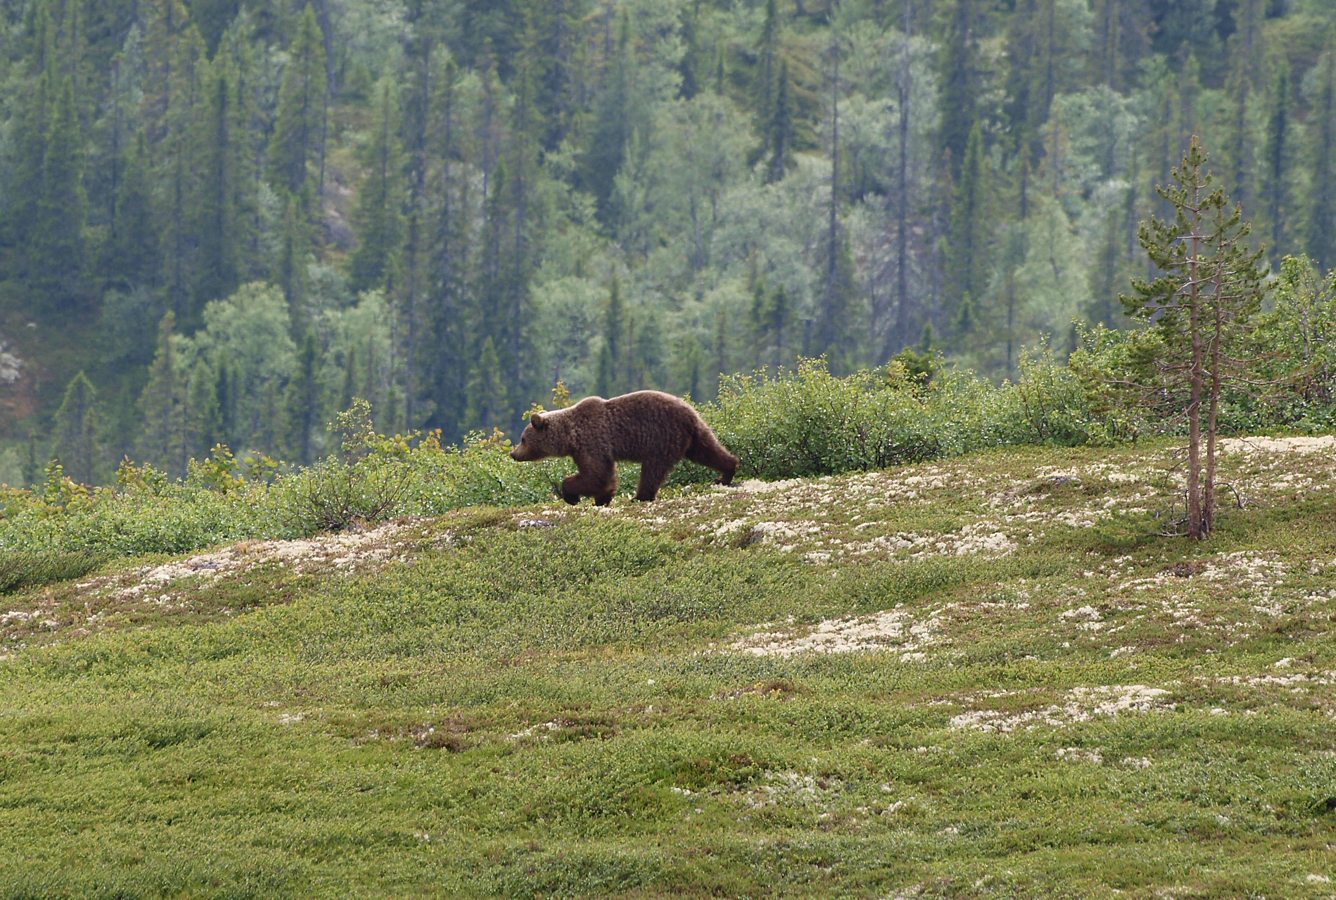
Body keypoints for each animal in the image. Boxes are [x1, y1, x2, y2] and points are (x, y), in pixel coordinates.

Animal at [510, 389, 742, 504]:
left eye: (523, 438)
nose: (513, 453)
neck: (570, 436)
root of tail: (690, 414)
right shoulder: (588, 449)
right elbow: (604, 477)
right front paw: (602, 499)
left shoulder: (592, 441)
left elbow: (596, 475)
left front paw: (572, 495)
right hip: (694, 436)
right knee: (709, 451)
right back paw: (725, 473)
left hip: (660, 438)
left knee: (652, 470)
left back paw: (640, 496)